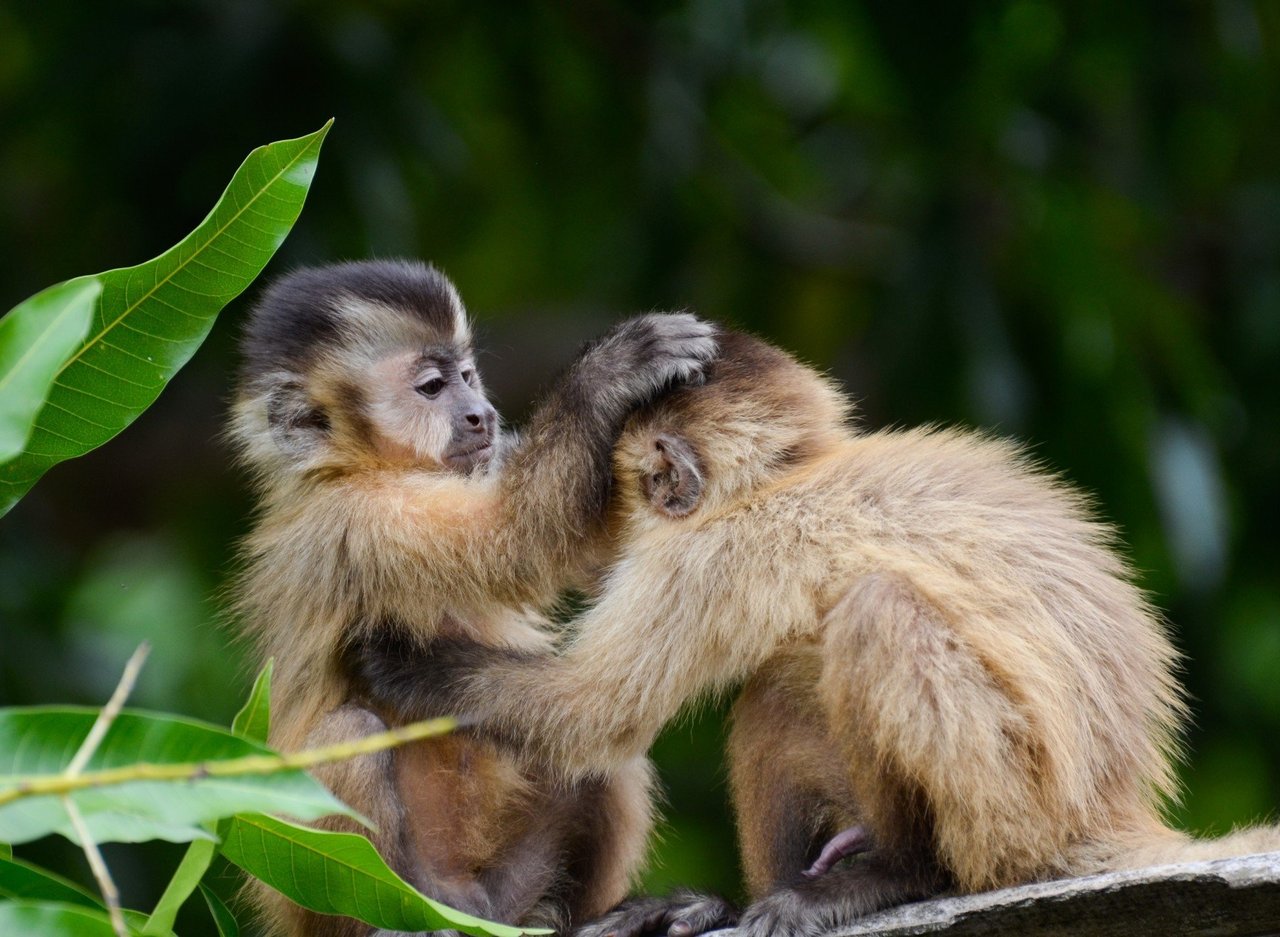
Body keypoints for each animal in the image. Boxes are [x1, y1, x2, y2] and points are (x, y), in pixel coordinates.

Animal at [225, 258, 716, 937]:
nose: (480, 413)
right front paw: (609, 374)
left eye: (466, 376)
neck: (362, 468)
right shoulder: (357, 520)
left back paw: (612, 917)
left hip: (512, 884)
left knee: (592, 747)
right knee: (348, 735)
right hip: (317, 881)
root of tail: (472, 905)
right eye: (433, 388)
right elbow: (516, 539)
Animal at [345, 327, 1280, 937]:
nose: (602, 531)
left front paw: (408, 667)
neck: (792, 475)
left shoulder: (716, 552)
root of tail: (1112, 814)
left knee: (875, 614)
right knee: (782, 687)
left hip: (1023, 818)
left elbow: (597, 714)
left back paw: (905, 874)